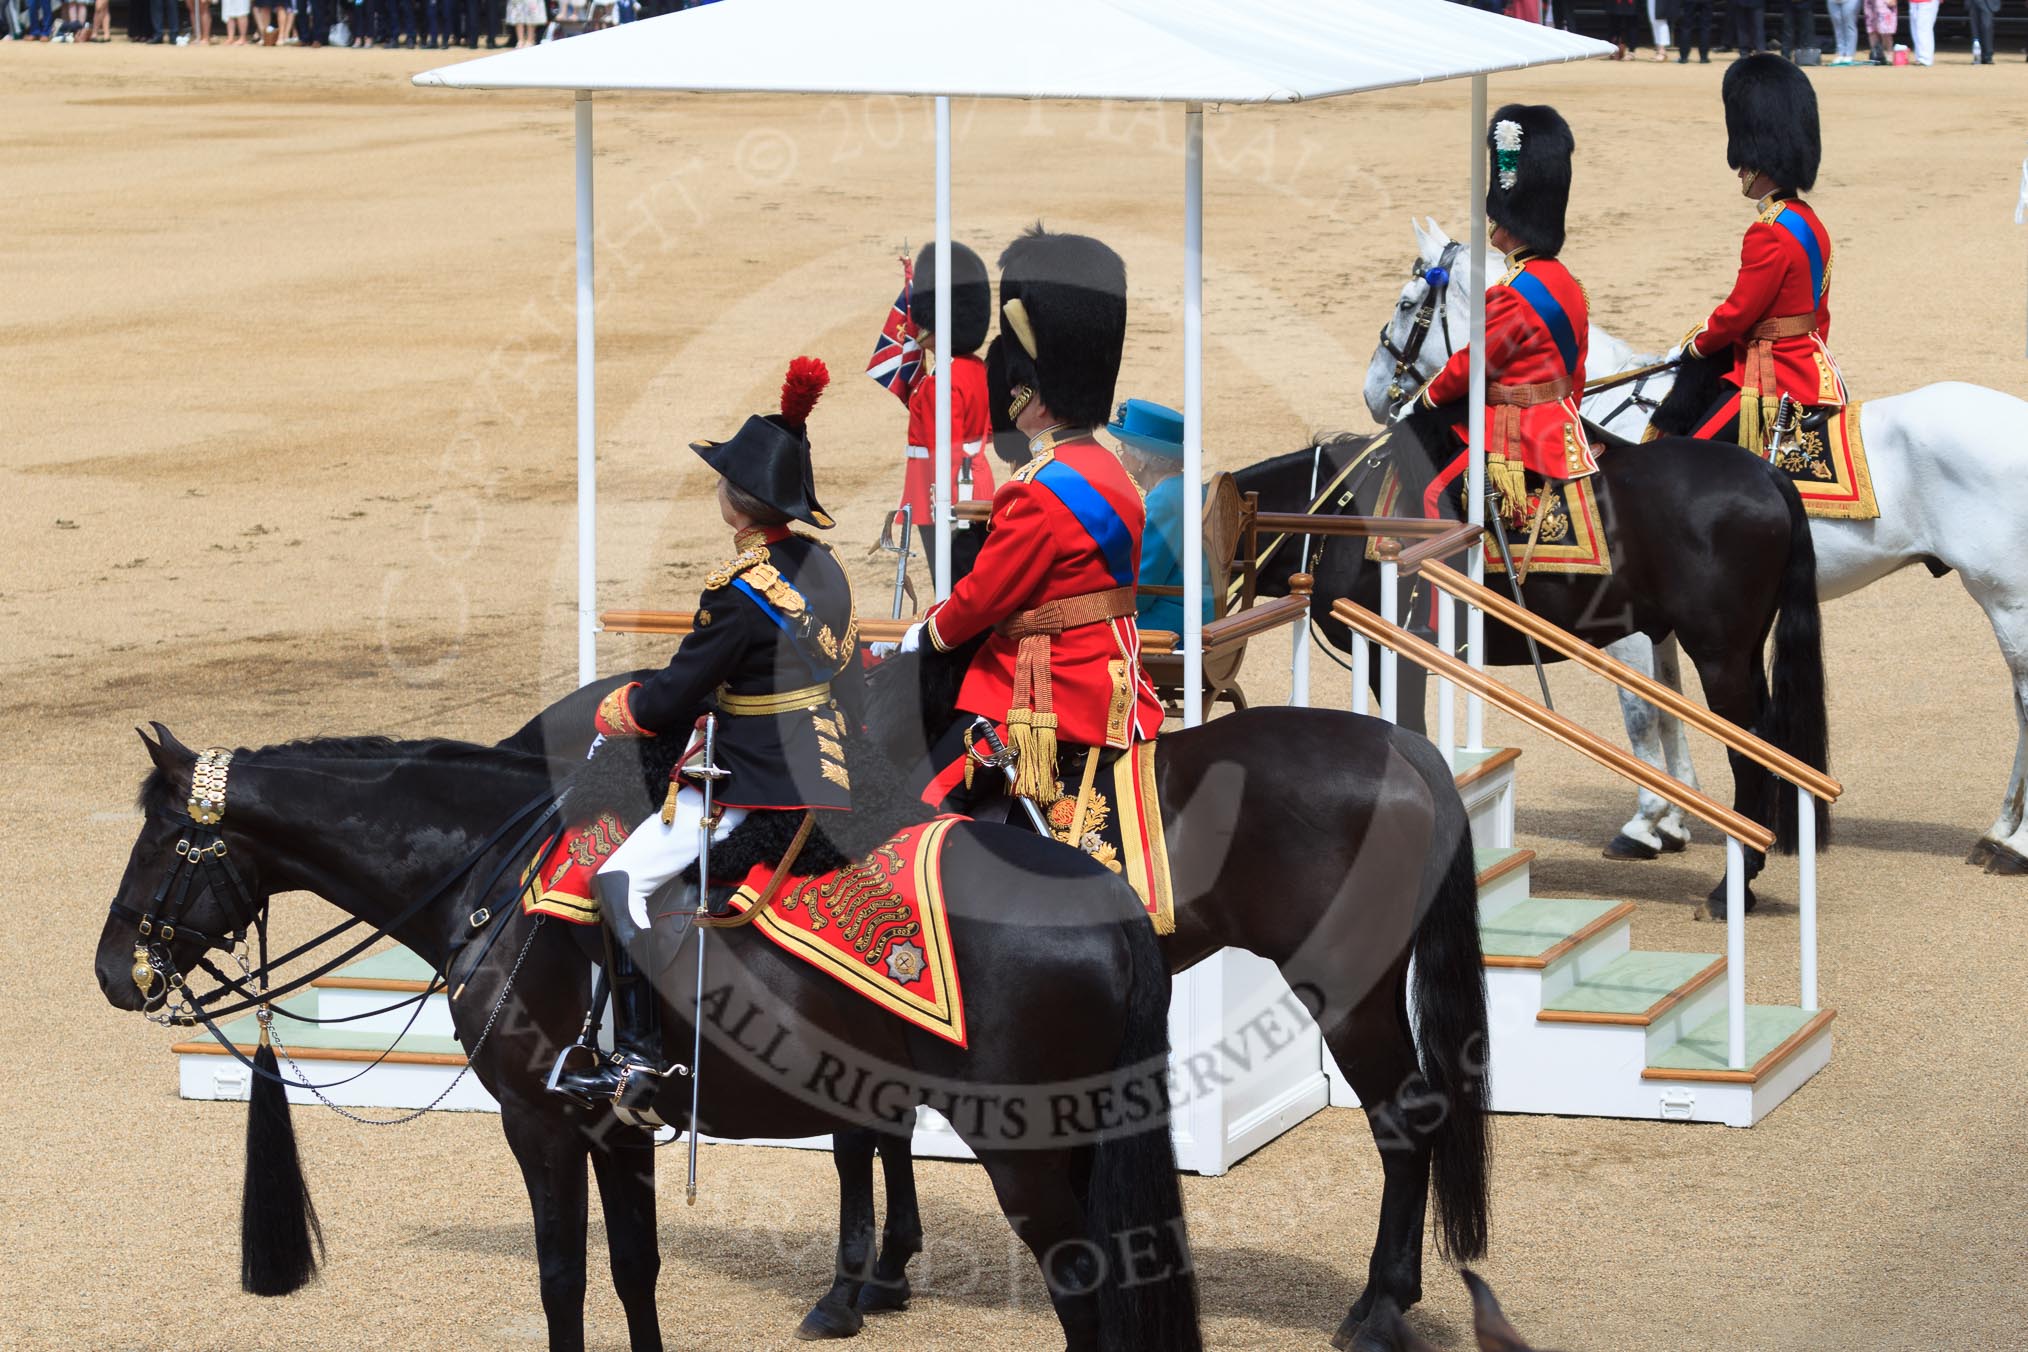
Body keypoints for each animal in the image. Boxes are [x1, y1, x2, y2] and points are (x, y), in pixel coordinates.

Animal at [95, 724, 1204, 1352]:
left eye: (163, 840)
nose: (112, 970)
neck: (491, 875)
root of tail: (1099, 891)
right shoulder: (615, 1127)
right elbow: (633, 1270)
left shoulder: (538, 1121)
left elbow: (562, 1278)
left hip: (1025, 1147)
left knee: (1082, 1294)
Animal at [522, 646, 1493, 1350]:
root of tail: (1406, 751)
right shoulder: (880, 1005)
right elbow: (880, 1134)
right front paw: (886, 1271)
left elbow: (859, 1142)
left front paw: (852, 1286)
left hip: (1347, 990)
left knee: (1404, 1120)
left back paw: (1380, 1309)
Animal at [1378, 217, 2028, 876]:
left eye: (1407, 304)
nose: (1379, 397)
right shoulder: (1662, 616)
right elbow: (1669, 700)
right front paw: (1675, 816)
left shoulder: (1628, 618)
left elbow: (1642, 712)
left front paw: (1647, 822)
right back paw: (2000, 830)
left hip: (2005, 598)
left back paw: (2014, 844)